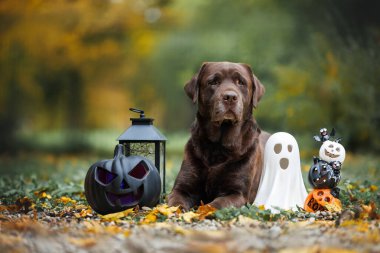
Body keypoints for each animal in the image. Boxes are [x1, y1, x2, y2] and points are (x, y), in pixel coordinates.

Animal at [167, 61, 270, 210]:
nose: (230, 97)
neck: (218, 147)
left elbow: (216, 204)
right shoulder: (182, 188)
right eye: (213, 82)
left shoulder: (237, 194)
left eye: (241, 82)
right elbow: (176, 202)